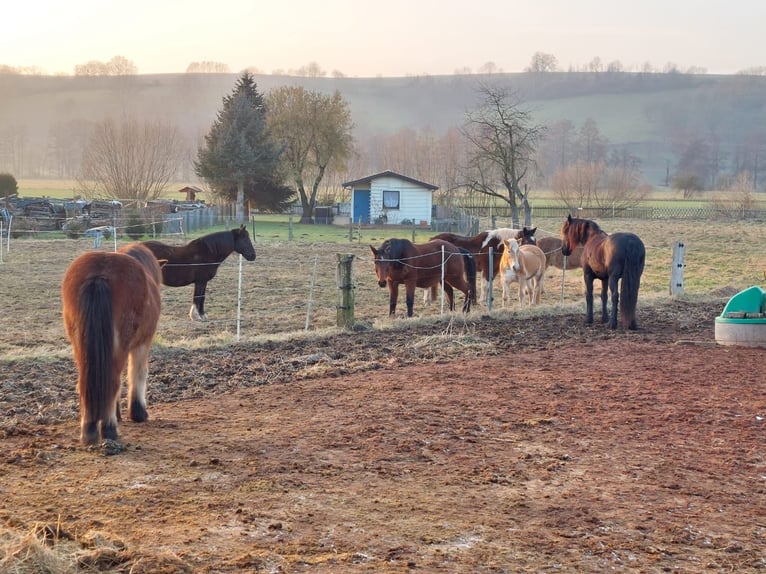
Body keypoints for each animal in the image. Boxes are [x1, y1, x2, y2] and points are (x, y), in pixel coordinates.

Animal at [62, 242, 165, 446]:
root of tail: (99, 274)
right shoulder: (143, 343)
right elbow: (138, 373)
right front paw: (138, 412)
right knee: (113, 380)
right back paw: (109, 429)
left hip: (81, 346)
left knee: (87, 382)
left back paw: (89, 430)